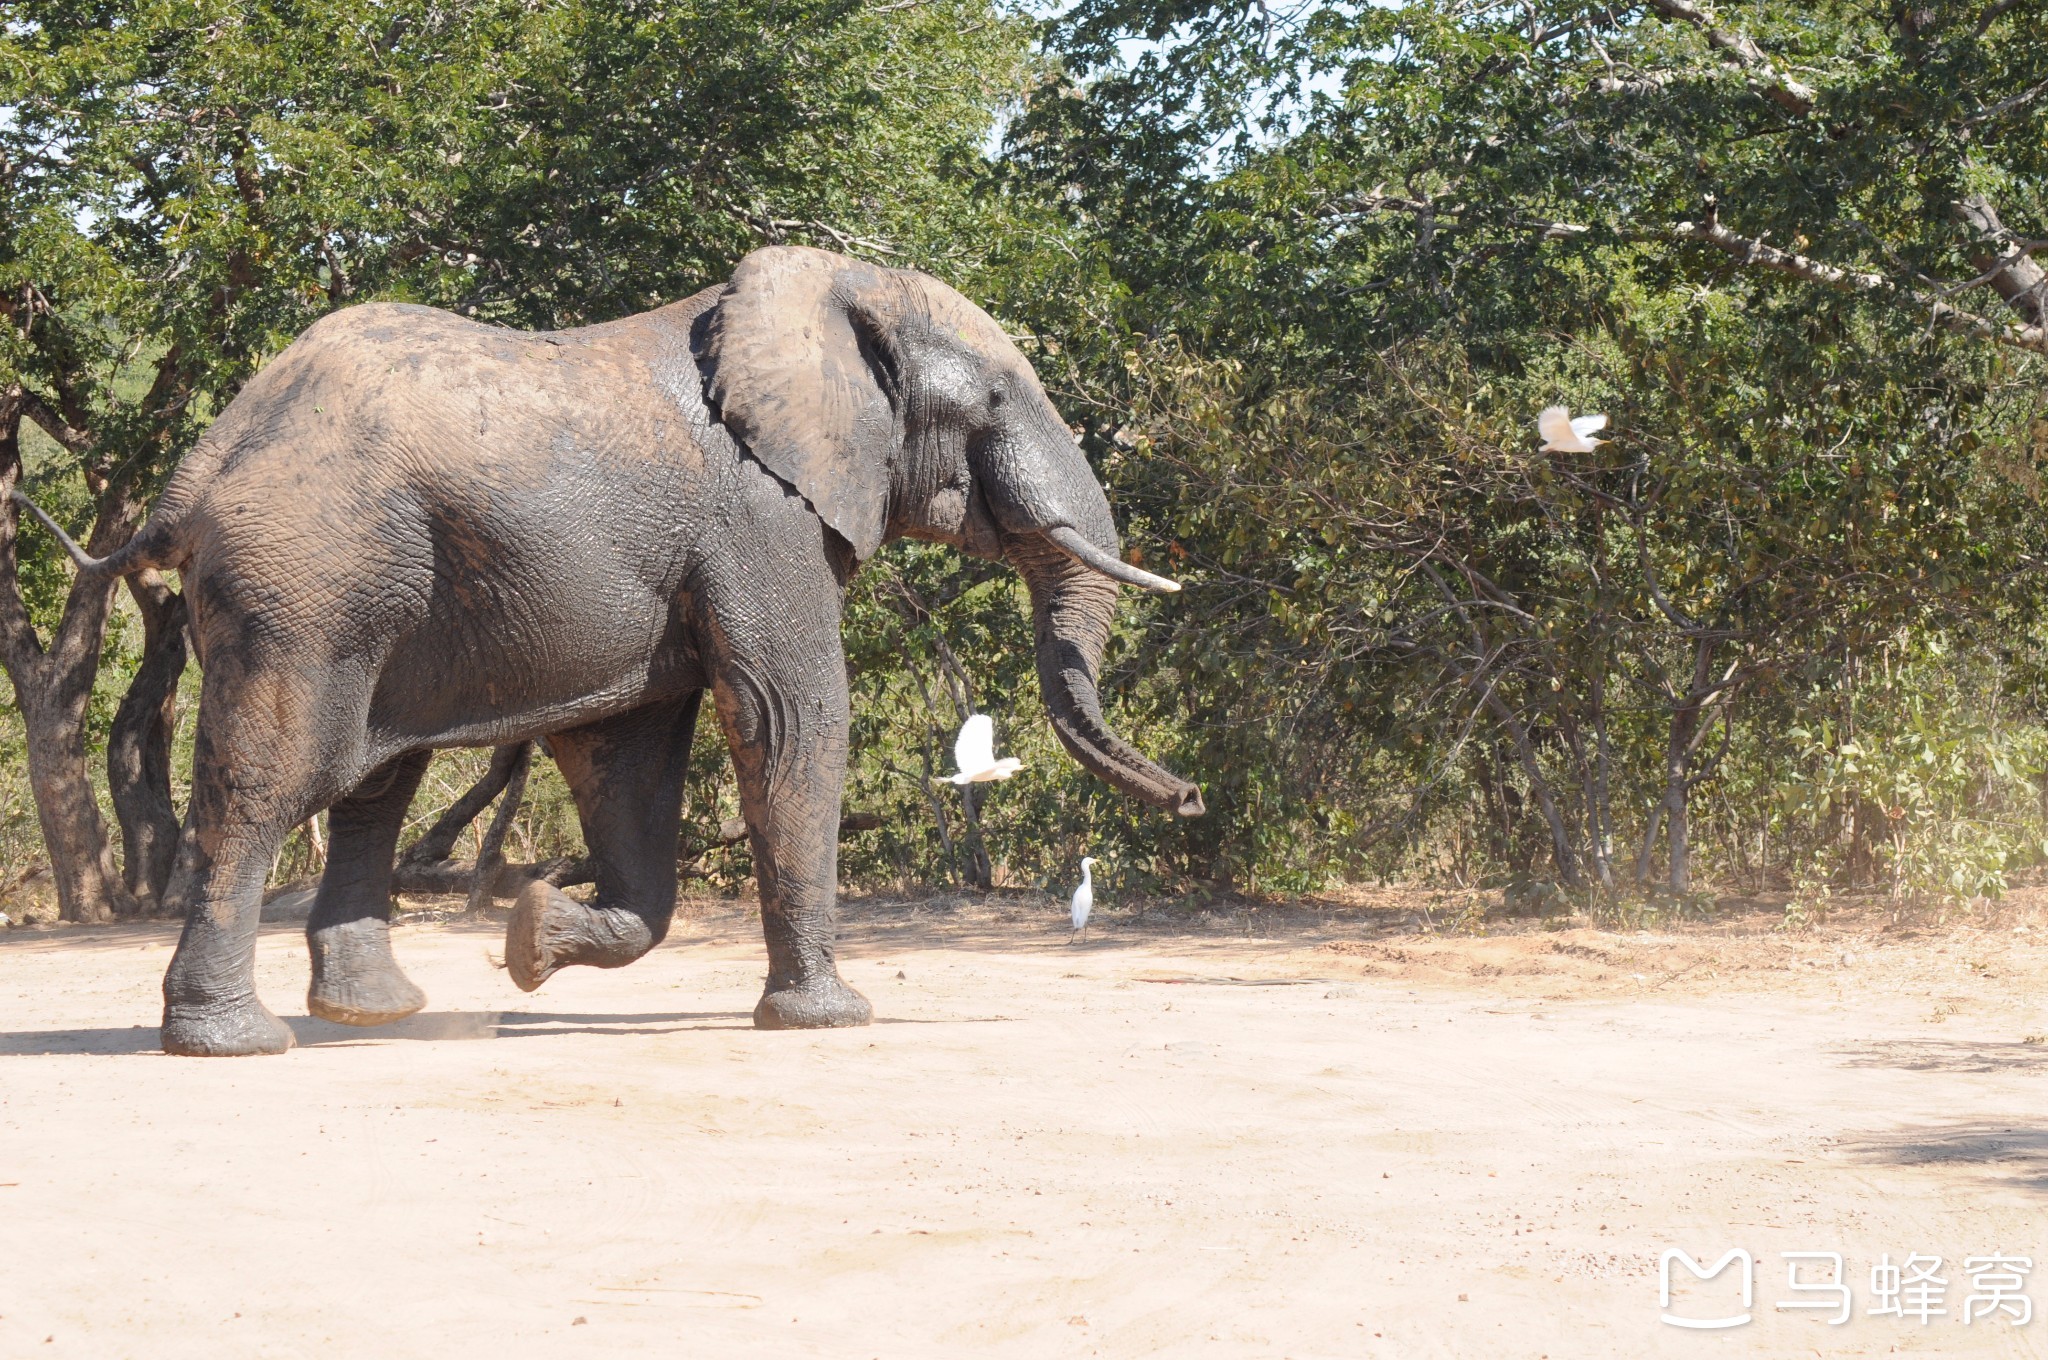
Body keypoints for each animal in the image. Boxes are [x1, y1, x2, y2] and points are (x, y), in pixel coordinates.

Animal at [12, 244, 1196, 1056]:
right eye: (995, 398)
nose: (1187, 801)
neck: (825, 298)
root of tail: (202, 462)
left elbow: (625, 755)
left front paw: (532, 939)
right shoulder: (761, 517)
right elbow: (790, 718)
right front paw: (830, 1019)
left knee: (374, 786)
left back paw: (375, 1014)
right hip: (306, 577)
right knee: (271, 783)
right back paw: (237, 1042)